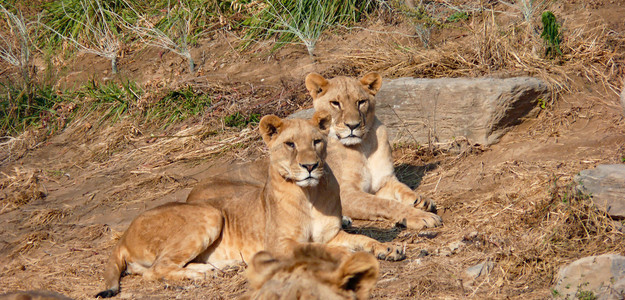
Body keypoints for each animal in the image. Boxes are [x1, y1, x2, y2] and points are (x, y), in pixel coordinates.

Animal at [304, 73, 444, 230]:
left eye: (361, 102)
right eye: (335, 103)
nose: (353, 125)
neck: (362, 147)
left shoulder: (384, 181)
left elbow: (403, 188)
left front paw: (420, 200)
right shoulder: (344, 193)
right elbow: (385, 203)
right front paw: (421, 216)